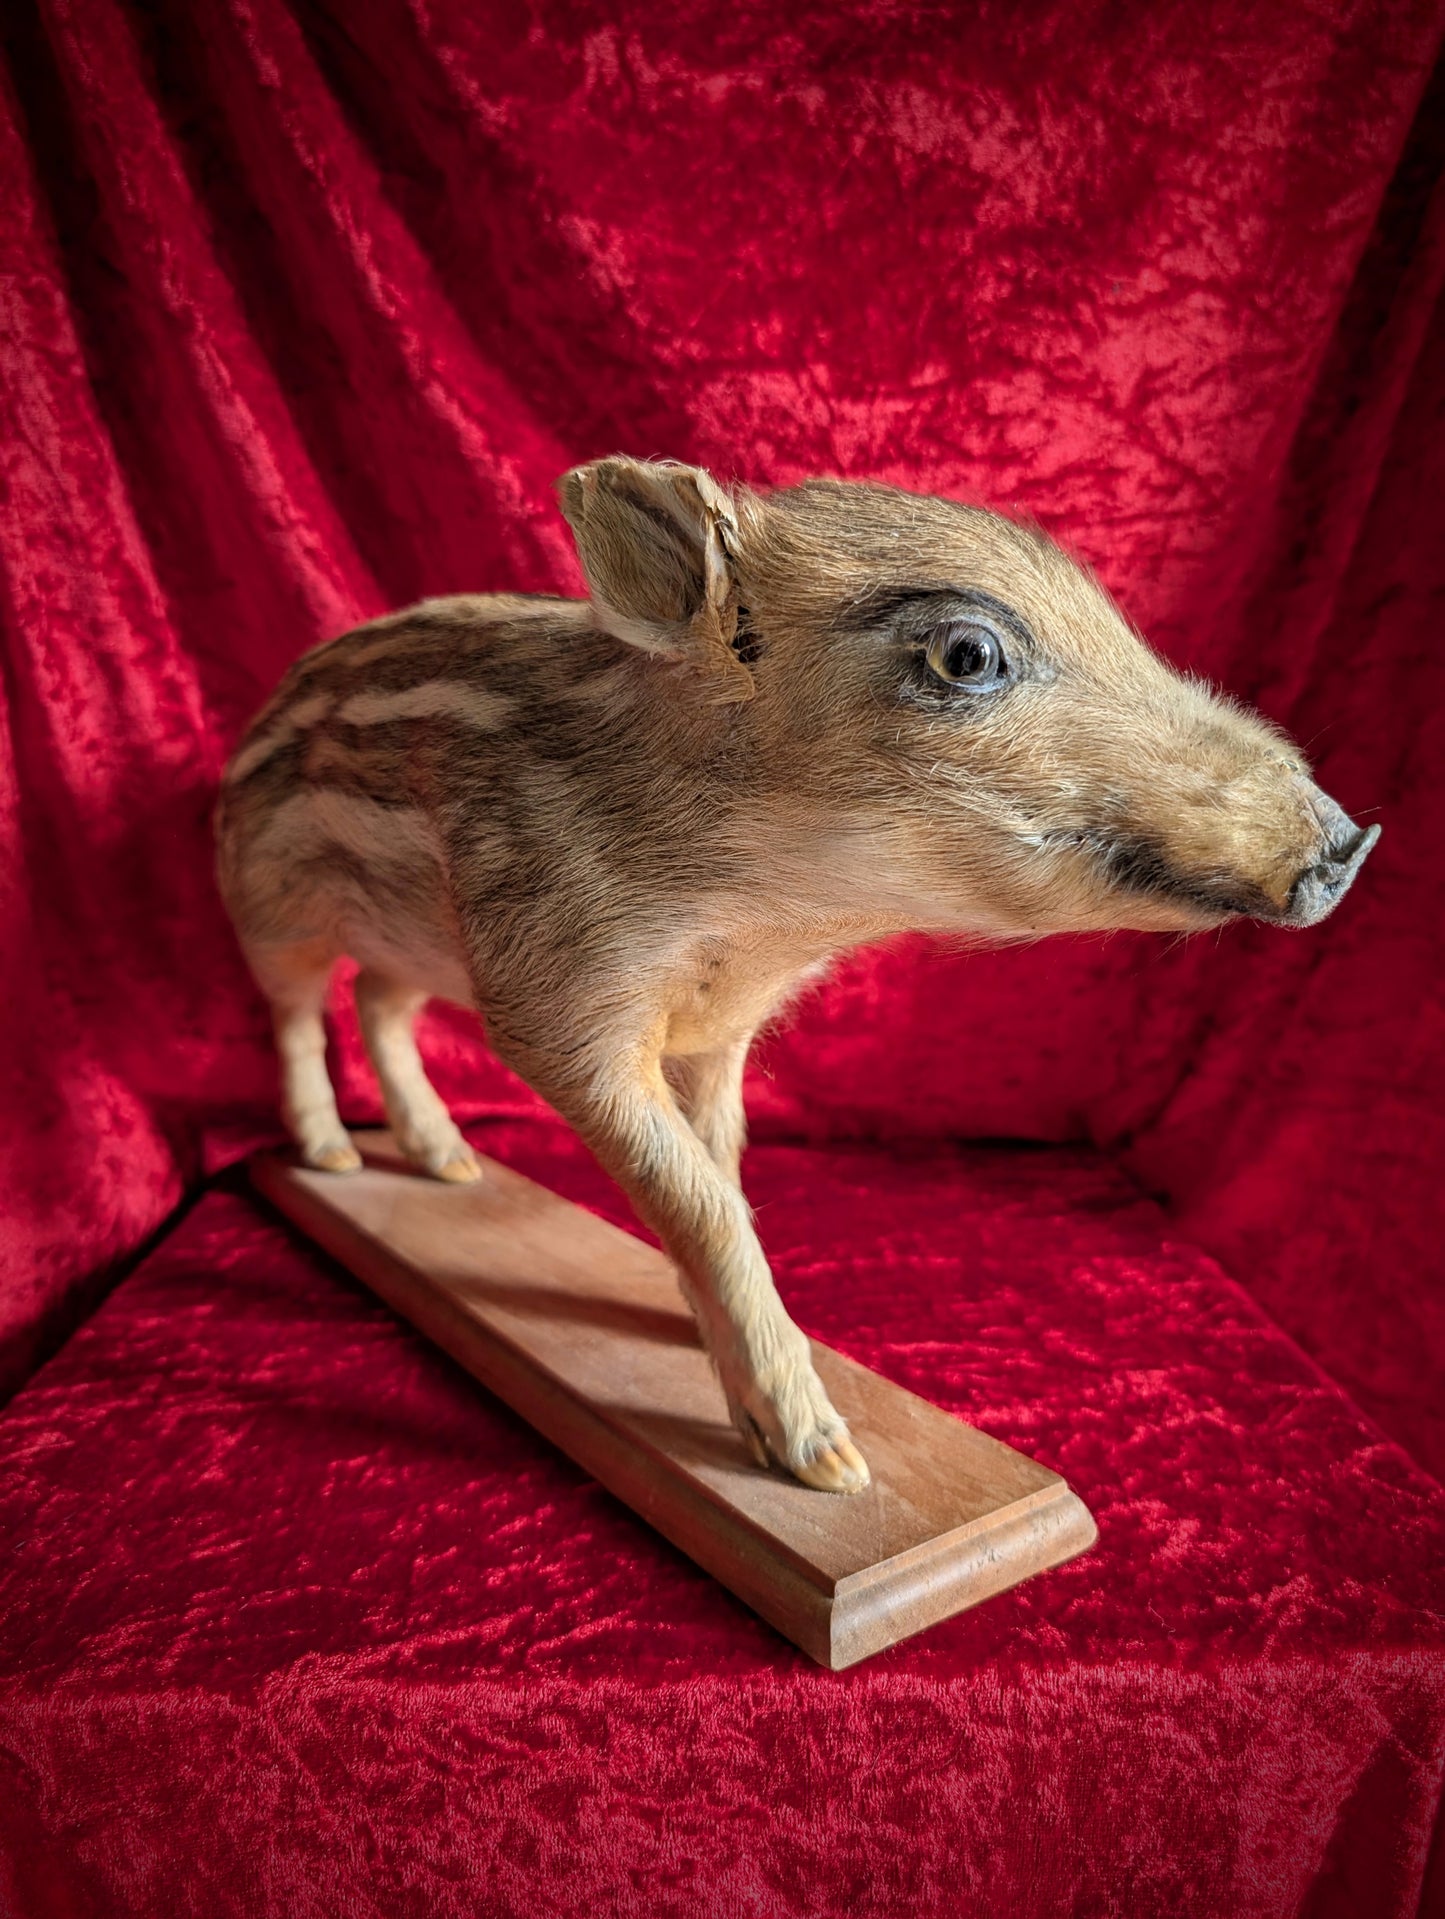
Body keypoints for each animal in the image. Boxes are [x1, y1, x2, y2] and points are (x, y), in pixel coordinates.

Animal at [215, 457, 1380, 1494]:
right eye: (967, 654)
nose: (1347, 842)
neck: (761, 913)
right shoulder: (560, 1012)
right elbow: (700, 1199)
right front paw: (826, 1464)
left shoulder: (716, 1032)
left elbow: (719, 1173)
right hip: (272, 911)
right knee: (297, 1017)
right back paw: (335, 1159)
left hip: (412, 939)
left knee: (380, 1005)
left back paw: (450, 1166)